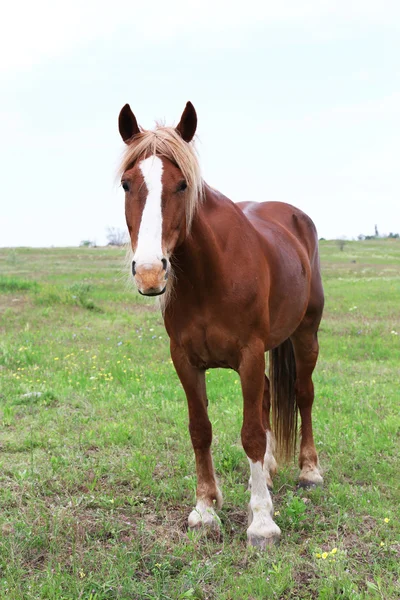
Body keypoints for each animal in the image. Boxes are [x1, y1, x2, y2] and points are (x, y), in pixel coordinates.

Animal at [117, 102, 324, 548]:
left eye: (182, 185)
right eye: (126, 184)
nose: (149, 272)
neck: (209, 276)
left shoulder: (248, 355)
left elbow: (250, 433)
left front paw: (262, 522)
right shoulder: (185, 360)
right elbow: (201, 429)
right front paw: (205, 508)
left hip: (306, 334)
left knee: (303, 394)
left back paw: (309, 471)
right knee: (268, 397)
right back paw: (267, 472)